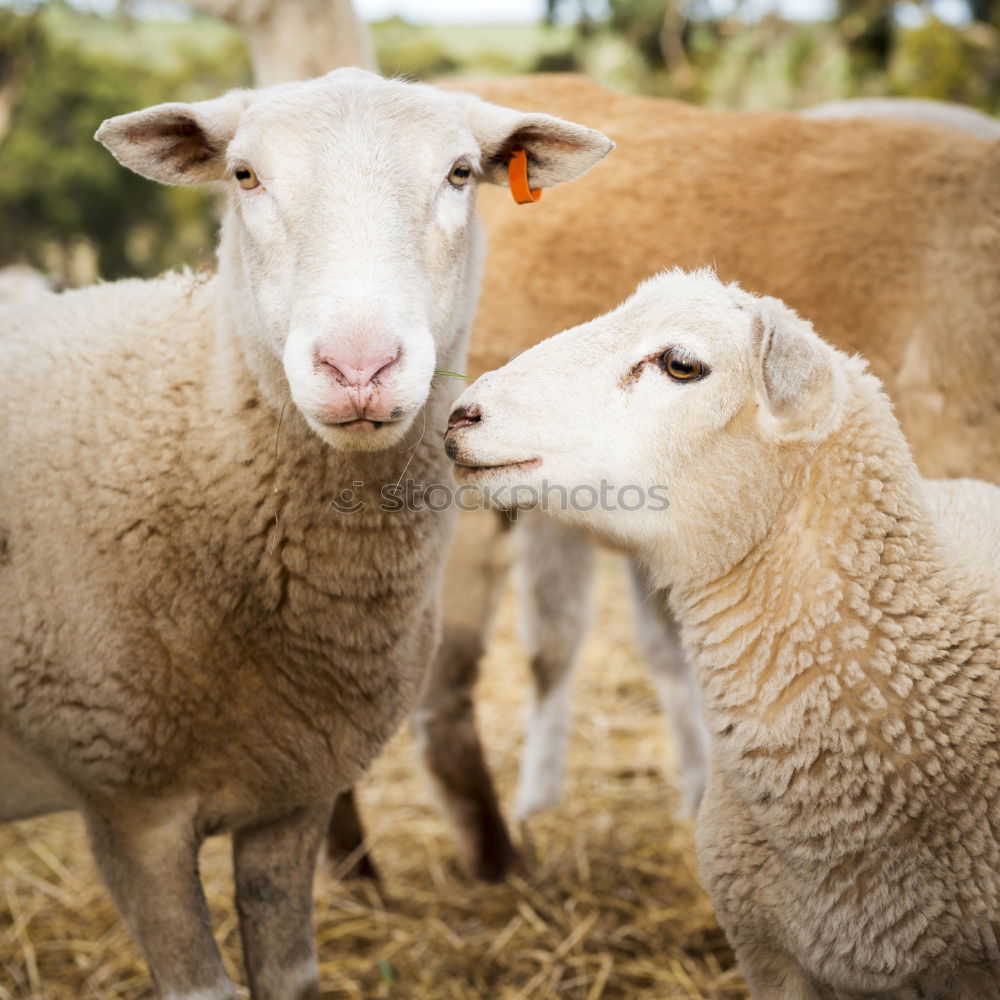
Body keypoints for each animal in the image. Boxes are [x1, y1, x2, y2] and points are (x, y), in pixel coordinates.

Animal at [0, 66, 608, 996]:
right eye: (244, 175)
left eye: (461, 173)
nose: (359, 368)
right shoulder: (132, 811)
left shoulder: (295, 796)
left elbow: (288, 975)